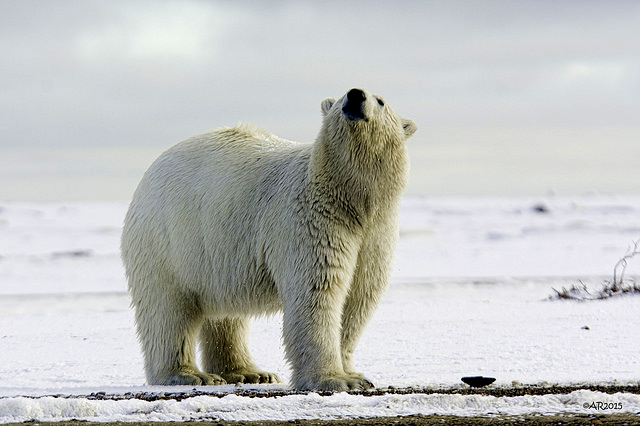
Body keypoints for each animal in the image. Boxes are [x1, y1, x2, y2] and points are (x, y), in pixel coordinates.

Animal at [121, 88, 416, 391]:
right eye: (340, 98)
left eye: (381, 101)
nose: (355, 95)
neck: (349, 200)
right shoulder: (309, 223)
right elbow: (318, 292)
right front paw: (335, 380)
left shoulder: (376, 233)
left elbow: (358, 298)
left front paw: (356, 375)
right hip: (166, 241)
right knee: (168, 311)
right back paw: (188, 374)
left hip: (218, 253)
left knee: (225, 314)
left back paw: (248, 372)